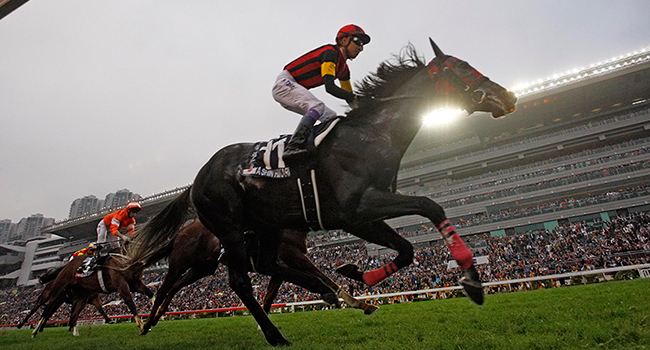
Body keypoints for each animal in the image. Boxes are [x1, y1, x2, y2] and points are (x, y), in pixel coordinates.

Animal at [124, 40, 512, 344]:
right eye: (461, 67)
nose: (507, 96)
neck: (371, 135)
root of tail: (197, 179)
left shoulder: (360, 216)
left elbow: (406, 250)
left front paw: (358, 277)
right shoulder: (359, 207)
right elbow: (430, 206)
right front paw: (471, 281)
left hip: (260, 230)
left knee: (263, 266)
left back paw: (324, 293)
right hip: (227, 231)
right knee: (229, 282)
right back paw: (272, 334)